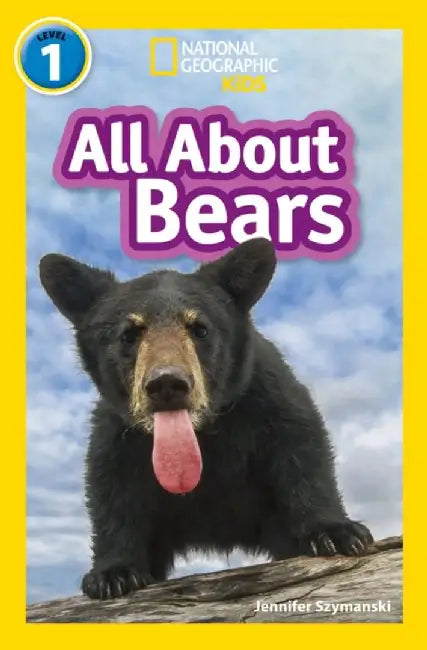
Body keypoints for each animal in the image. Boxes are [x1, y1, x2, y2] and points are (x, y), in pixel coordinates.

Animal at [39, 237, 373, 600]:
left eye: (199, 329)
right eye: (129, 334)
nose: (167, 384)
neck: (202, 435)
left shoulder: (267, 395)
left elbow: (301, 448)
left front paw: (338, 532)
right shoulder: (118, 433)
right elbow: (111, 488)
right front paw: (113, 573)